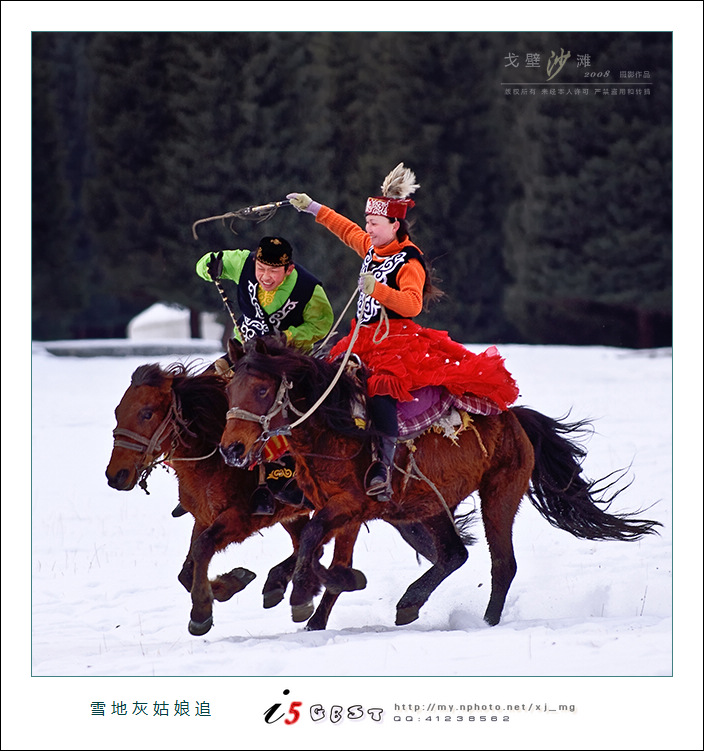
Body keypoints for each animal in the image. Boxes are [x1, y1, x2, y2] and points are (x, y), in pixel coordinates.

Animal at [107, 362, 366, 636]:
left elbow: (202, 549)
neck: (214, 458)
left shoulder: (240, 519)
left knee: (334, 557)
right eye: (118, 412)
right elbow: (188, 569)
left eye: (147, 413)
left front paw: (202, 611)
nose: (115, 475)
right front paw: (229, 584)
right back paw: (283, 589)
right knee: (313, 548)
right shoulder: (203, 517)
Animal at [221, 338, 664, 624]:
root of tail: (514, 417)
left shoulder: (348, 506)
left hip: (498, 495)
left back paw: (482, 621)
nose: (231, 449)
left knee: (501, 564)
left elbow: (314, 541)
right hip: (426, 505)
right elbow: (317, 550)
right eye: (229, 389)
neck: (334, 428)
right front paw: (304, 594)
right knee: (454, 553)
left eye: (262, 389)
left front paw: (303, 593)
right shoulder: (342, 511)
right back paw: (410, 602)